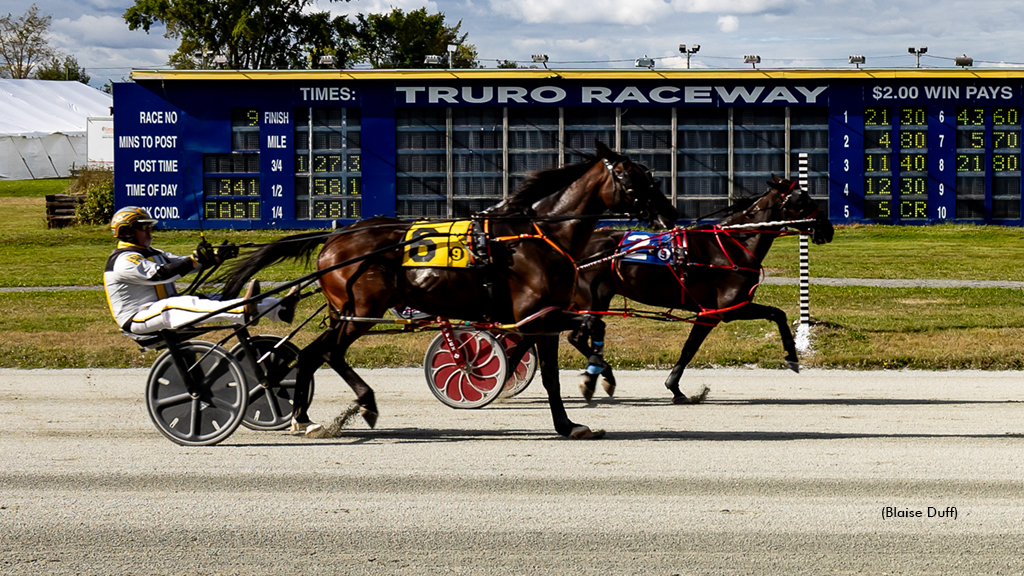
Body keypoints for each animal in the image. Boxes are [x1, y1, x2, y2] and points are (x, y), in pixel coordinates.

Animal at [220, 142, 675, 434]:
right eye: (635, 179)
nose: (670, 215)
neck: (537, 236)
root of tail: (336, 236)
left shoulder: (541, 318)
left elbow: (551, 369)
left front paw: (567, 421)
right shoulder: (537, 314)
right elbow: (578, 336)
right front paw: (589, 383)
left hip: (345, 312)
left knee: (314, 353)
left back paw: (310, 411)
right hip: (360, 311)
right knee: (324, 352)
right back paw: (335, 409)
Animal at [569, 175, 831, 403]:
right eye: (801, 199)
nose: (827, 227)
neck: (733, 245)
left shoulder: (710, 313)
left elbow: (689, 348)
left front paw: (675, 388)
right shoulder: (726, 309)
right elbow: (776, 314)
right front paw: (792, 357)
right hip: (593, 300)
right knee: (576, 337)